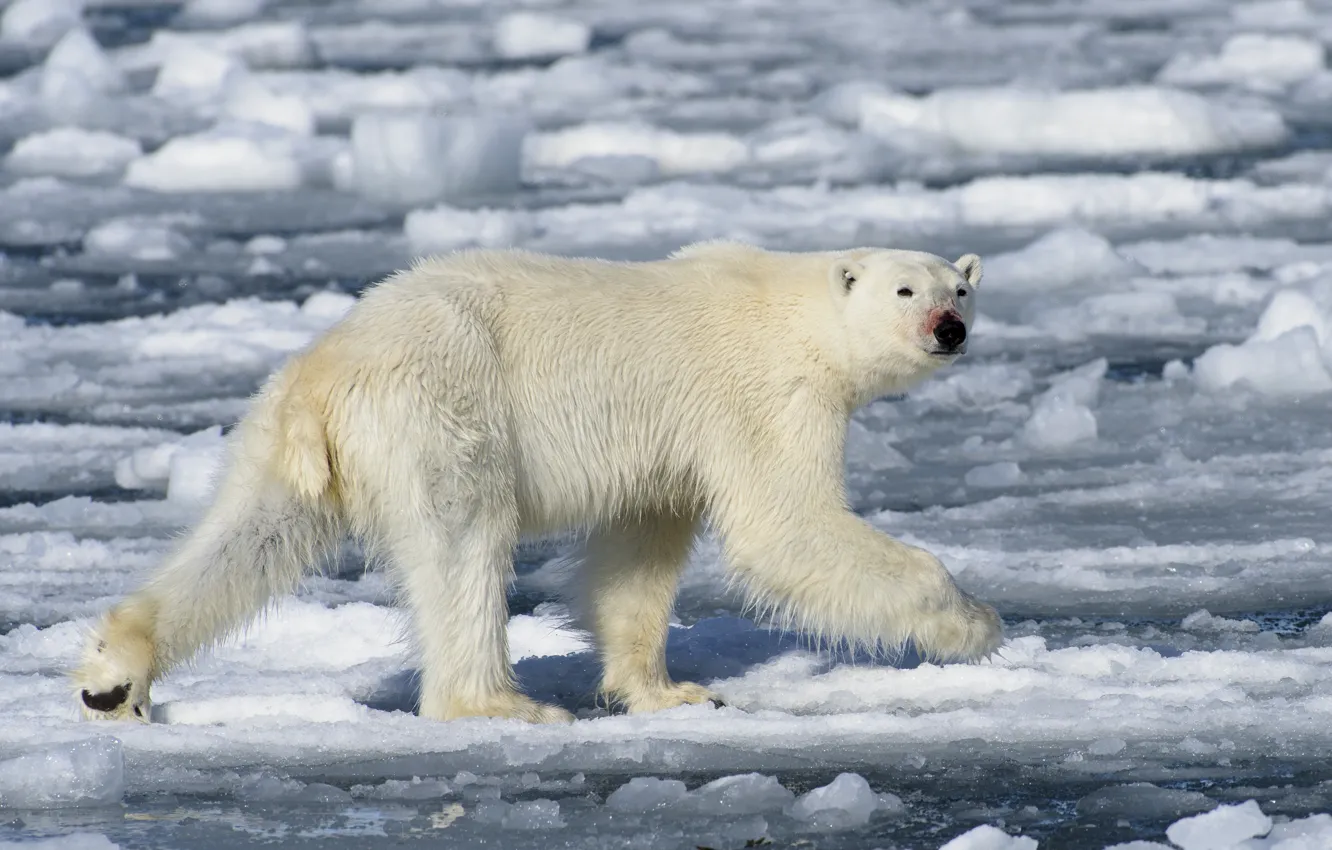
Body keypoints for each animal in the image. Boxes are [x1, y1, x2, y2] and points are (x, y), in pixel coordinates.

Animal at [74, 241, 1002, 725]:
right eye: (905, 289)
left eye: (961, 289)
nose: (948, 328)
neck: (793, 304)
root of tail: (327, 368)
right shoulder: (767, 394)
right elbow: (786, 526)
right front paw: (973, 625)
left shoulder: (668, 446)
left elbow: (639, 551)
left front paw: (667, 689)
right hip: (443, 409)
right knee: (463, 543)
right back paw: (499, 704)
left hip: (285, 442)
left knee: (249, 537)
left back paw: (116, 675)